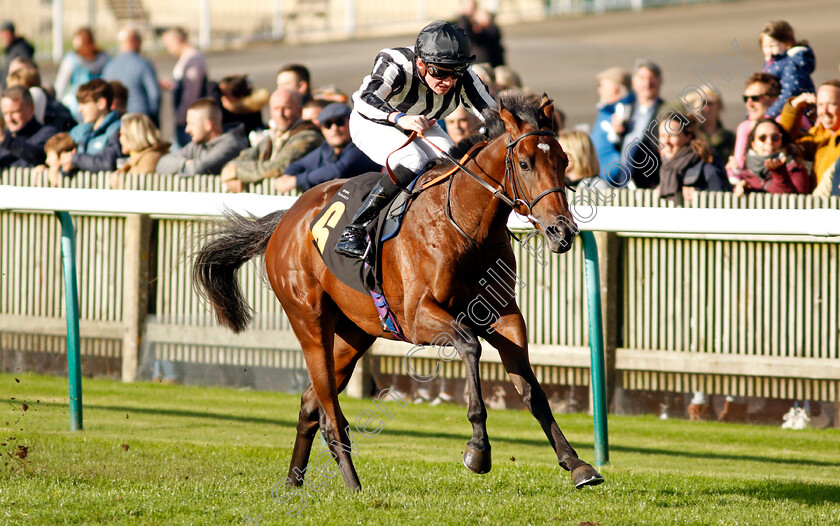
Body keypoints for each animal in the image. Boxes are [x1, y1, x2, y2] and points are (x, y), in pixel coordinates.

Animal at [193, 93, 604, 492]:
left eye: (564, 160)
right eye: (524, 162)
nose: (562, 231)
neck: (464, 224)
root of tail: (287, 218)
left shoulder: (504, 315)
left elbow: (533, 391)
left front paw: (578, 464)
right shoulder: (418, 318)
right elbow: (470, 345)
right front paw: (478, 450)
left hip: (353, 334)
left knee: (311, 405)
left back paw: (294, 483)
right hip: (310, 323)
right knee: (330, 413)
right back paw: (354, 486)